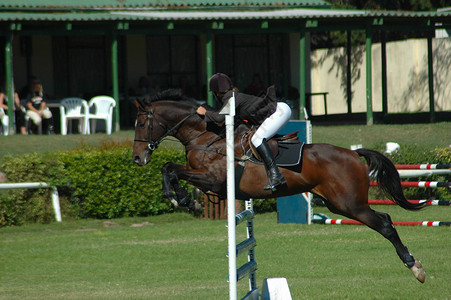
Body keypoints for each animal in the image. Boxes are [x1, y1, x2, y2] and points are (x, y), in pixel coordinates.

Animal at [132, 90, 428, 282]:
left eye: (142, 122)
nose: (137, 158)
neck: (205, 136)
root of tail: (354, 154)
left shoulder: (213, 178)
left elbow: (170, 169)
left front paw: (179, 198)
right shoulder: (207, 179)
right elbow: (169, 168)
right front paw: (183, 199)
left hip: (350, 204)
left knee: (385, 224)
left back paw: (415, 268)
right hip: (339, 204)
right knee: (384, 218)